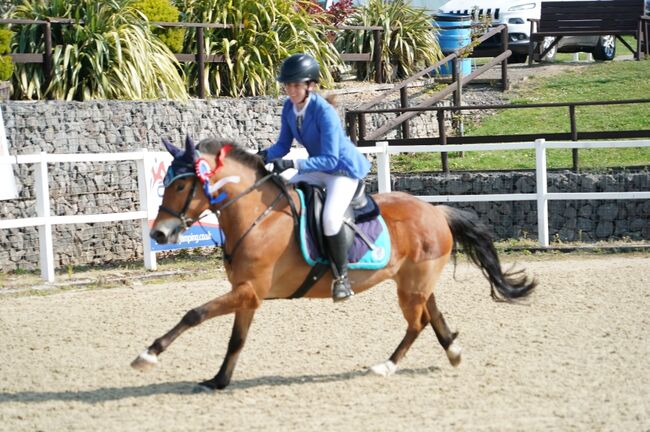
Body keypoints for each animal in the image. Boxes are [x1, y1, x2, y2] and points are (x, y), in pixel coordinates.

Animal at [129, 137, 536, 390]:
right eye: (166, 182)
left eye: (182, 186)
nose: (160, 233)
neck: (258, 217)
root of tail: (437, 211)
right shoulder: (246, 295)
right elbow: (236, 340)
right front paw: (219, 380)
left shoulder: (249, 292)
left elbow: (193, 314)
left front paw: (148, 355)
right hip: (414, 282)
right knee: (432, 315)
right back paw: (452, 351)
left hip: (411, 287)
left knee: (417, 323)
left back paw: (387, 365)